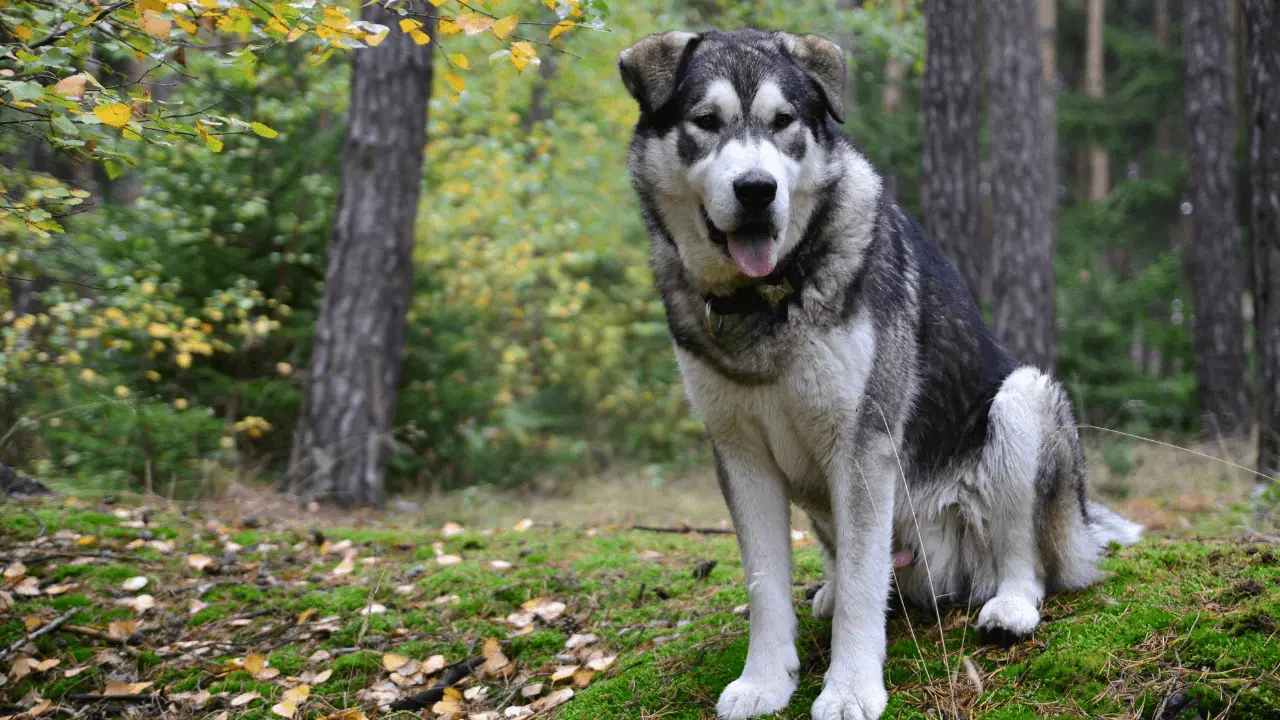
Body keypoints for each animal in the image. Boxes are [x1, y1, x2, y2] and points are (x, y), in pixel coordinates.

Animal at [616, 29, 1141, 717]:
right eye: (706, 122)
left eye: (783, 122)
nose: (757, 190)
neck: (770, 299)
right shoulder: (739, 453)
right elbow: (765, 584)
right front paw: (765, 681)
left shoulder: (863, 445)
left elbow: (867, 589)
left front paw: (850, 688)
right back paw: (830, 591)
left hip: (1021, 403)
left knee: (1024, 558)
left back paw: (1010, 605)